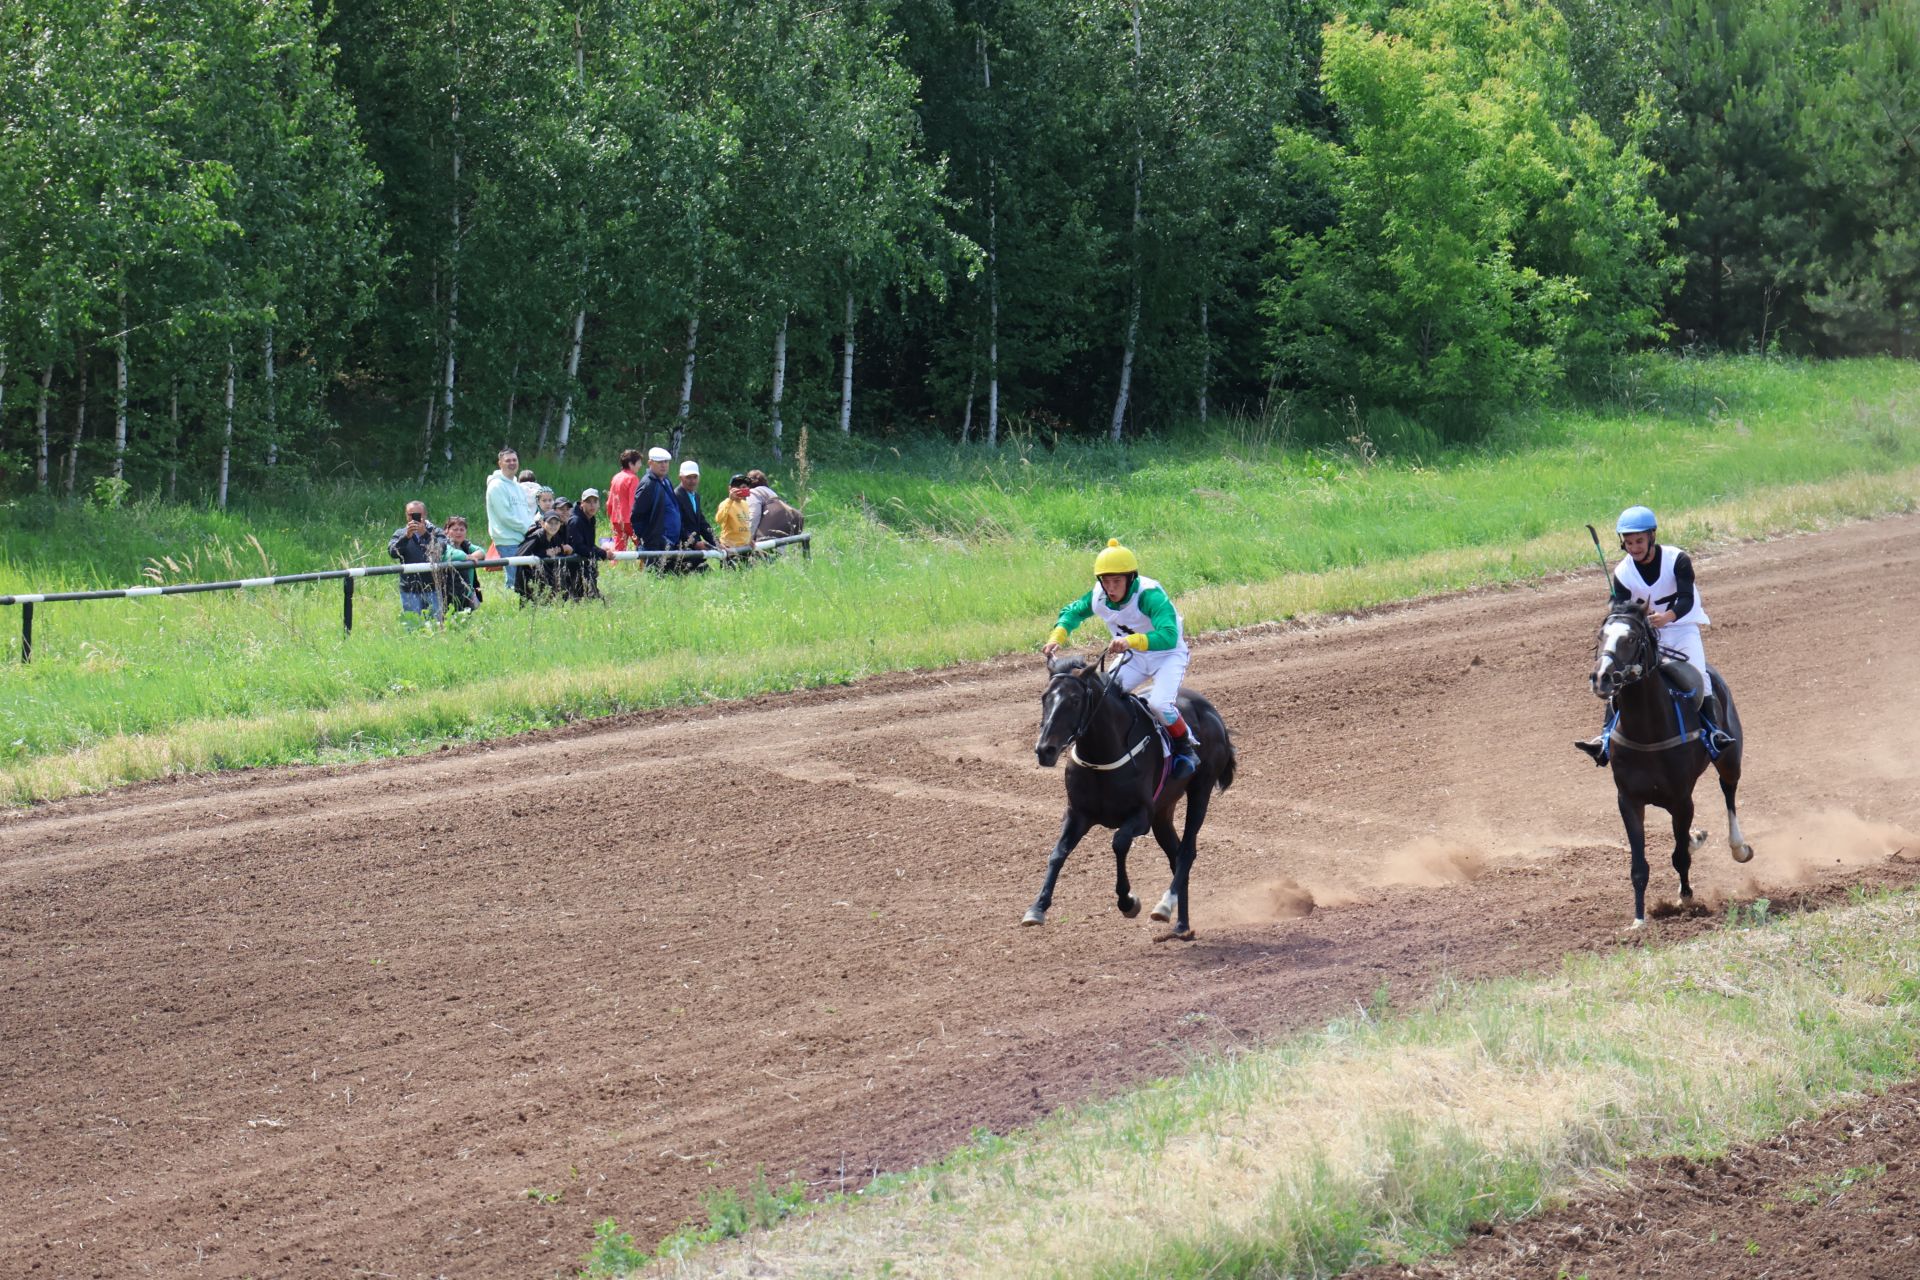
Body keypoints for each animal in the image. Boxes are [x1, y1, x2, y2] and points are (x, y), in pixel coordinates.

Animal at [1029, 660, 1236, 940]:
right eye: (1044, 697)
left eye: (1074, 700)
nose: (1045, 750)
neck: (1103, 754)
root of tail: (1213, 713)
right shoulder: (1077, 814)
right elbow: (1057, 853)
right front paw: (1037, 907)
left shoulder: (1141, 816)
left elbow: (1119, 842)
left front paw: (1127, 901)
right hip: (1163, 813)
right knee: (1175, 854)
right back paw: (1181, 924)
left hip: (1199, 791)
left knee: (1186, 852)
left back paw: (1165, 905)